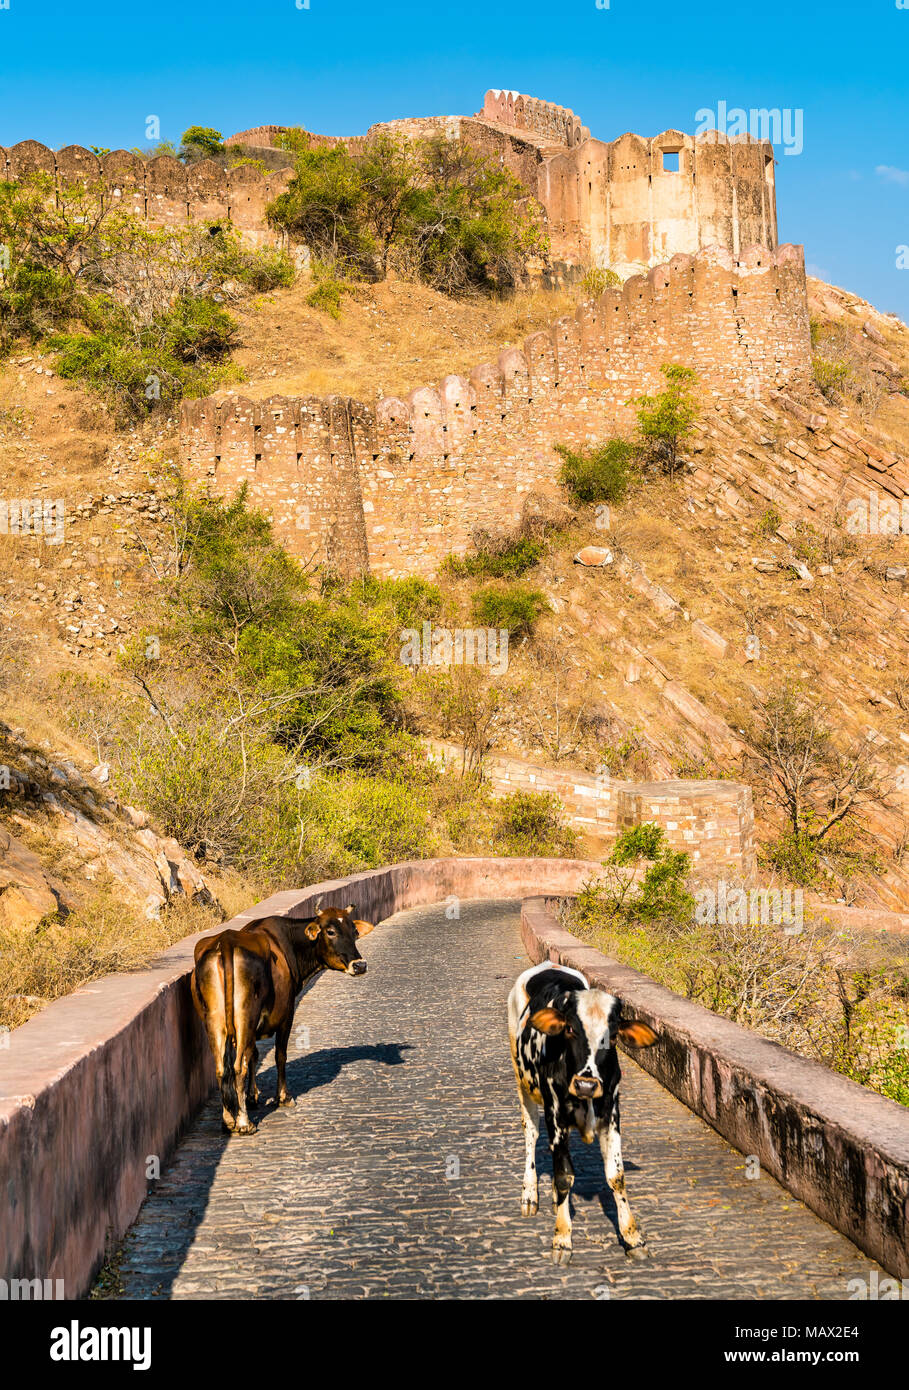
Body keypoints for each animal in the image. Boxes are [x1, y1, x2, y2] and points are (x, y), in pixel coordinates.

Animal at [191, 906, 378, 1134]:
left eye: (355, 932)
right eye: (331, 931)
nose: (360, 965)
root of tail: (226, 941)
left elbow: (254, 1055)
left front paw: (253, 1096)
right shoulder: (286, 1015)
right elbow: (280, 1055)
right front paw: (283, 1097)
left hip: (214, 1020)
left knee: (222, 1068)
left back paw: (228, 1121)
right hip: (245, 1016)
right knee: (237, 1067)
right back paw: (244, 1123)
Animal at [508, 961, 658, 1267]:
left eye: (613, 1035)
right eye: (569, 1029)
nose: (586, 1085)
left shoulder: (612, 1115)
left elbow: (616, 1176)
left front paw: (633, 1237)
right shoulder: (555, 1116)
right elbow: (564, 1175)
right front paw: (562, 1239)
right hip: (522, 1081)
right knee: (531, 1133)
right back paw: (530, 1194)